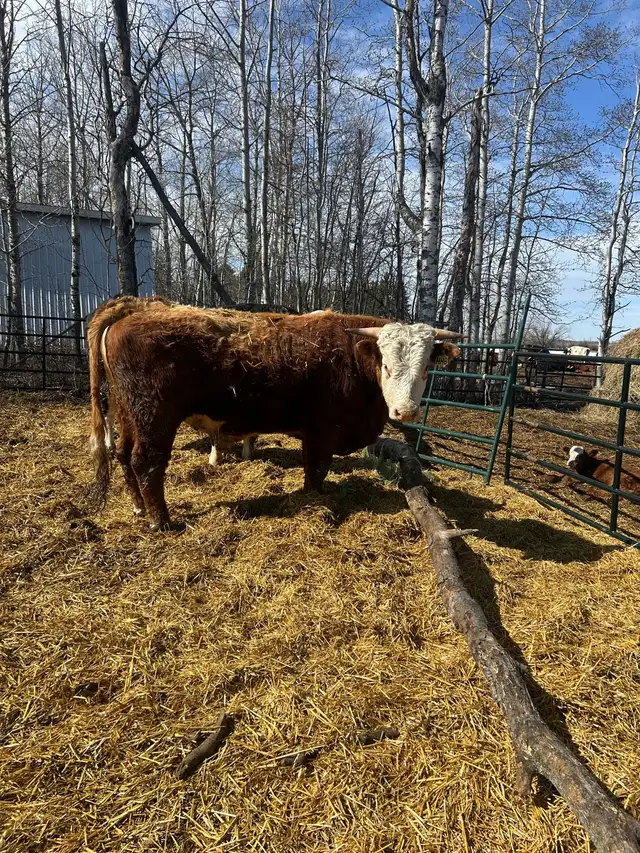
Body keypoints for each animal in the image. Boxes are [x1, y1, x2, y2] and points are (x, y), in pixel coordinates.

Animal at [87, 298, 460, 530]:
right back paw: (161, 520)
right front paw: (315, 502)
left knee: (123, 454)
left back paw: (138, 507)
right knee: (147, 462)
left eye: (427, 367)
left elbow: (312, 469)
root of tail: (132, 311)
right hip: (155, 417)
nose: (406, 411)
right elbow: (316, 471)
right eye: (385, 364)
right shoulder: (324, 431)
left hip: (128, 412)